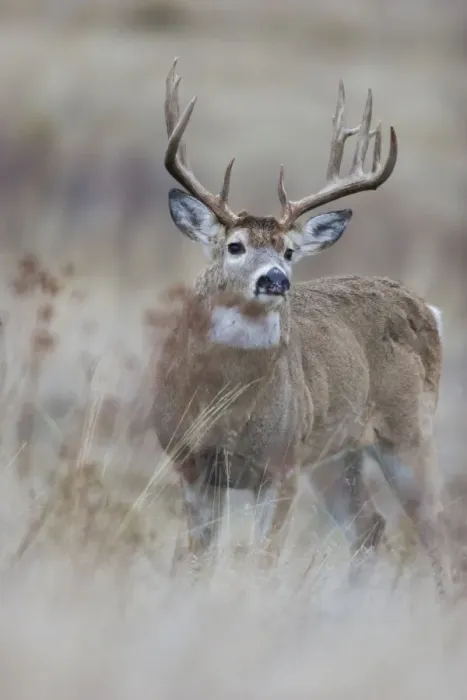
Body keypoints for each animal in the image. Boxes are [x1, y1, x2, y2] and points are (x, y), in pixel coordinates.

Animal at [152, 58, 446, 588]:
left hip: (409, 430)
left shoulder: (281, 465)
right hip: (336, 454)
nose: (276, 279)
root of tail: (425, 307)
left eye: (290, 251)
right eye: (235, 246)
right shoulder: (191, 464)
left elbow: (264, 560)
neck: (227, 411)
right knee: (370, 526)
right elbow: (199, 560)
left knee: (440, 532)